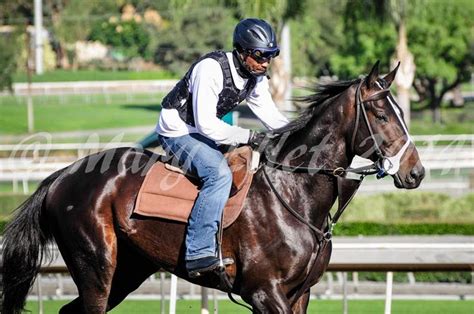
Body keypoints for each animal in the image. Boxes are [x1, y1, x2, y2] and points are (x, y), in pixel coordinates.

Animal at [0, 62, 426, 314]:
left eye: (403, 113)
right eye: (383, 115)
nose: (416, 172)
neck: (293, 194)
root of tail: (60, 177)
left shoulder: (299, 294)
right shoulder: (265, 292)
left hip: (129, 269)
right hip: (96, 268)